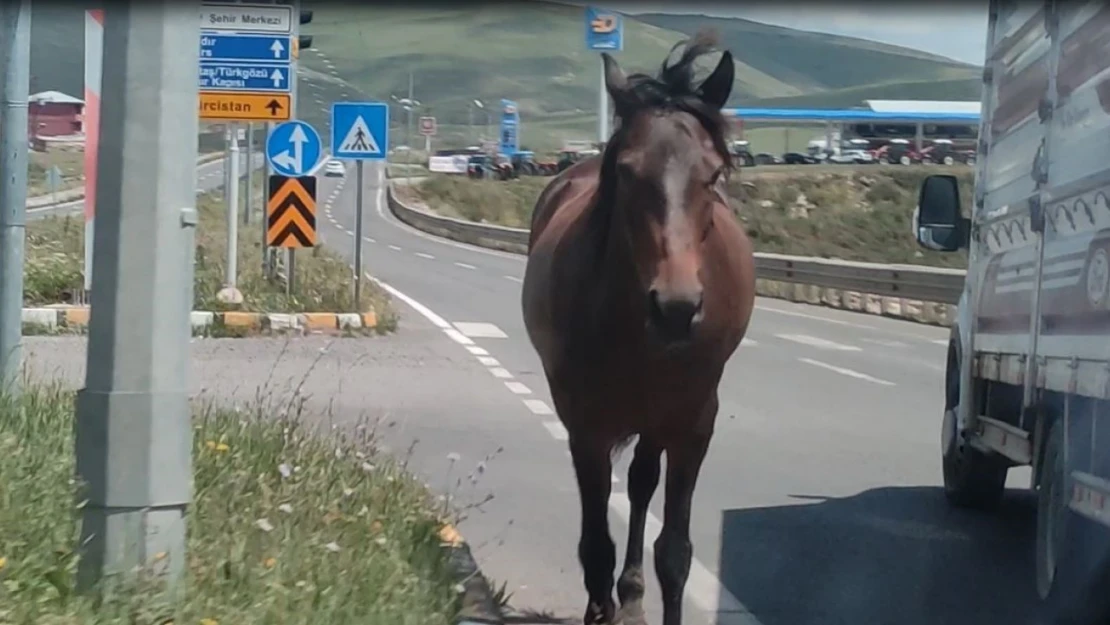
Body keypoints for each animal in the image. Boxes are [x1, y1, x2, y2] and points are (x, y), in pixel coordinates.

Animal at [519, 33, 754, 625]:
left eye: (713, 174)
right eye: (626, 171)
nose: (676, 306)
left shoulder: (695, 422)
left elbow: (674, 552)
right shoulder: (585, 424)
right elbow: (595, 543)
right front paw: (599, 607)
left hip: (658, 418)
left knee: (644, 483)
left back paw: (631, 593)